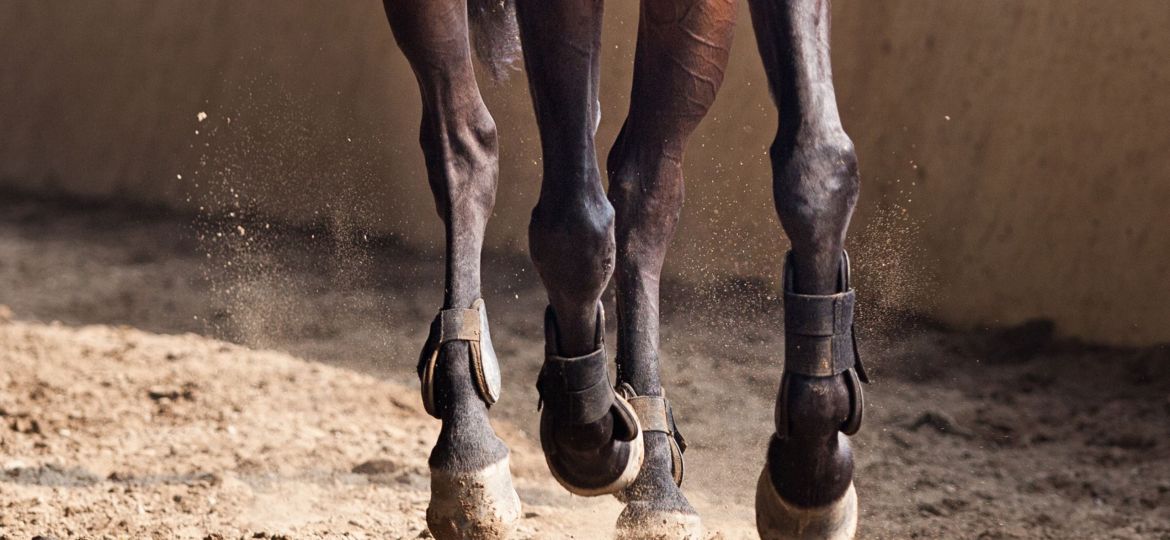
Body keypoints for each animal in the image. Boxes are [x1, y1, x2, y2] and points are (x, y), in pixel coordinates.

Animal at [383, 0, 865, 537]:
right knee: (465, 143)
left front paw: (812, 473)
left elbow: (819, 166)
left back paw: (655, 481)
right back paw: (469, 453)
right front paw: (586, 435)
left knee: (643, 188)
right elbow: (575, 224)